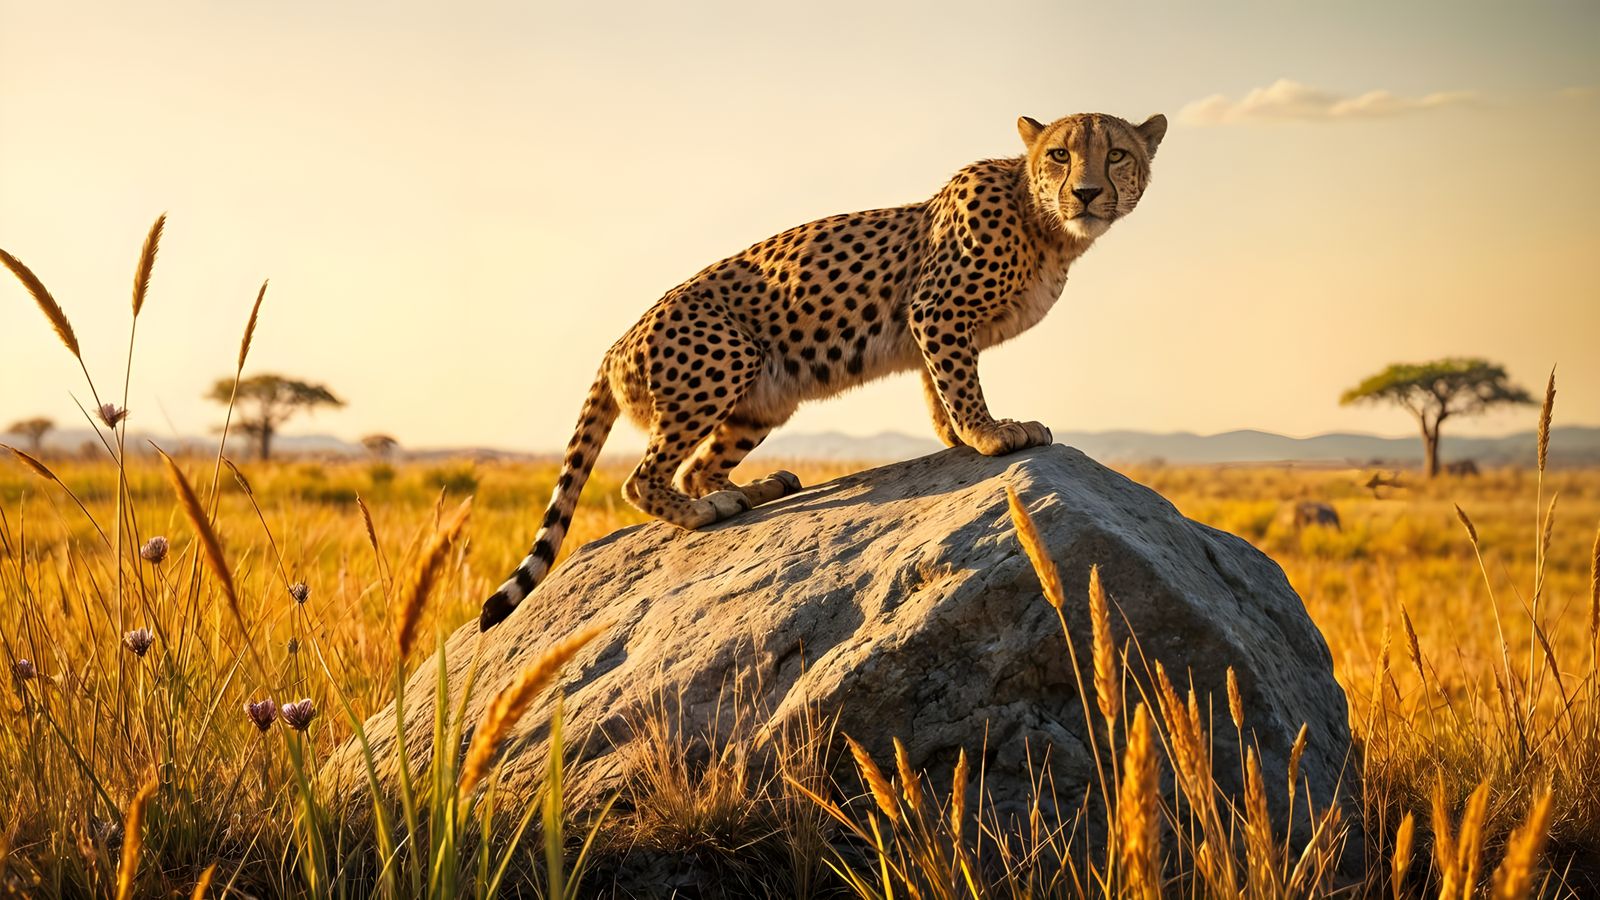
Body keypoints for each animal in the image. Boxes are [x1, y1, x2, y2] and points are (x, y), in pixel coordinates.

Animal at [479, 111, 1168, 630]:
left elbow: (938, 386)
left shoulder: (930, 321)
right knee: (642, 479)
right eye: (1059, 155)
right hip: (728, 356)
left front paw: (958, 434)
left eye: (1117, 155)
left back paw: (754, 490)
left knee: (699, 467)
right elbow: (959, 380)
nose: (1086, 193)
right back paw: (709, 512)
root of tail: (615, 343)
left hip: (763, 399)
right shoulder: (937, 308)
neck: (1044, 221)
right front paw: (990, 433)